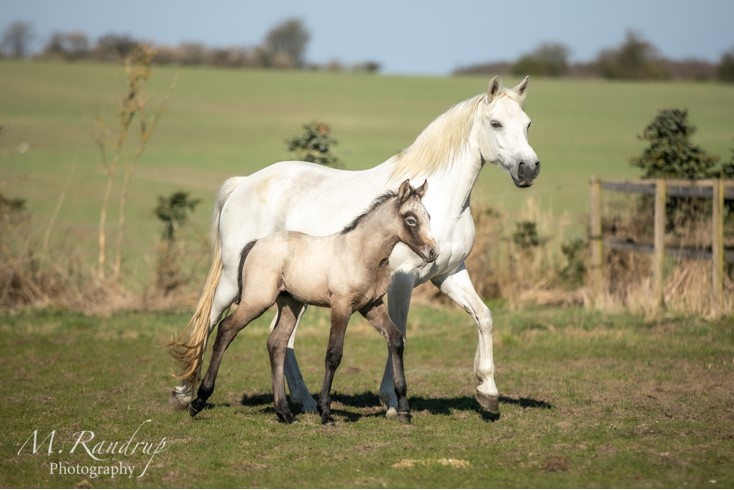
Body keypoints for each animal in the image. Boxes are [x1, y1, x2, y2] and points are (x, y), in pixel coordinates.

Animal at [171, 76, 540, 418]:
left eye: (527, 123)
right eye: (496, 123)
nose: (529, 168)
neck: (443, 199)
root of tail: (243, 183)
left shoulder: (449, 274)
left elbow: (484, 317)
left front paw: (488, 393)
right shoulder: (403, 280)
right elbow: (400, 331)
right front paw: (391, 400)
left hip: (291, 294)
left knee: (282, 340)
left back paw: (304, 403)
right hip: (235, 281)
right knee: (211, 320)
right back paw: (186, 394)